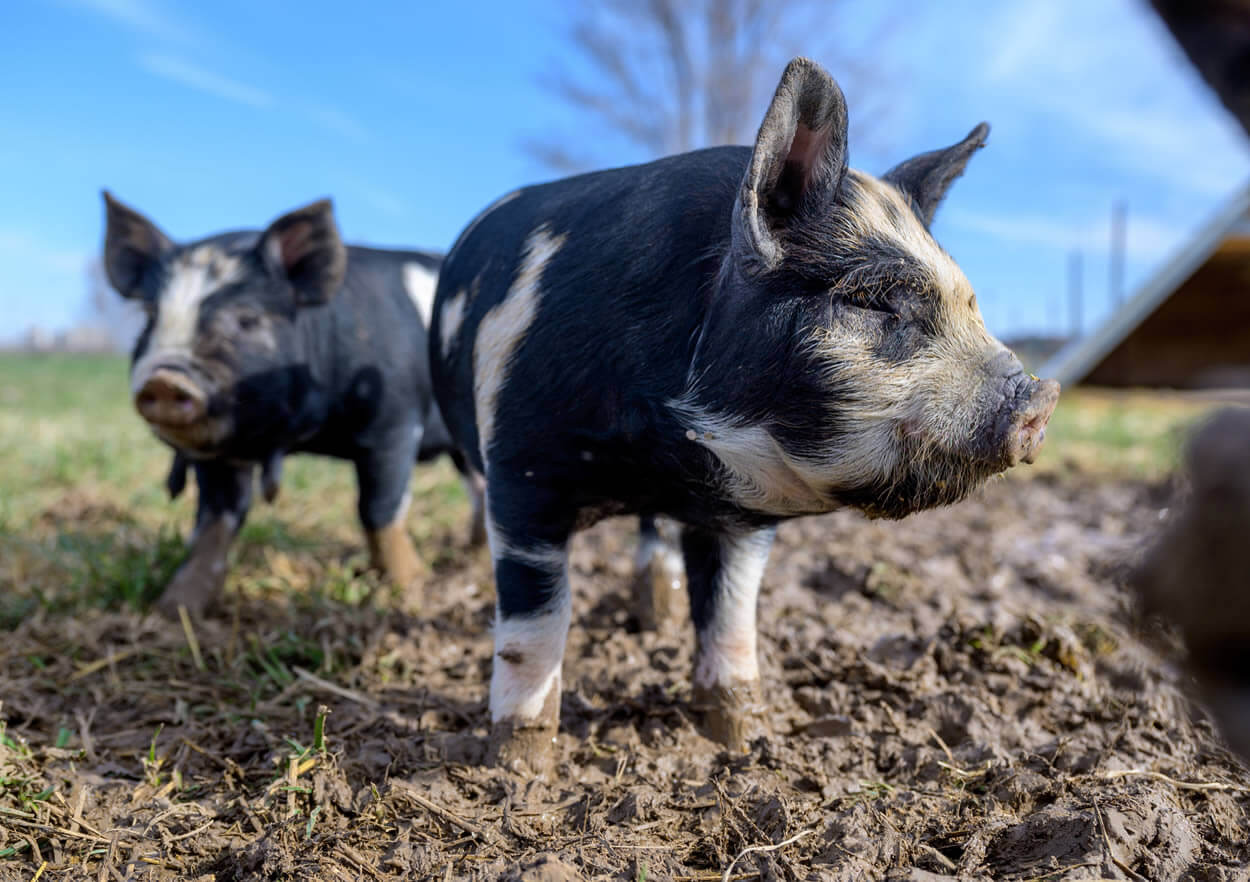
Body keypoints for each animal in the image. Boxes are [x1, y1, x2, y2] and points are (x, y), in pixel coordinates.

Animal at [102, 192, 485, 619]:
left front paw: (412, 588)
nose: (165, 380)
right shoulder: (219, 454)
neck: (295, 436)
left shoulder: (394, 424)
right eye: (150, 317)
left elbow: (379, 509)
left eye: (248, 319)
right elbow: (214, 522)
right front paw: (172, 609)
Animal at [427, 56, 1055, 769]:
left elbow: (732, 614)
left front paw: (742, 740)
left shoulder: (742, 517)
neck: (670, 454)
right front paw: (519, 766)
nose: (1039, 398)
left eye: (971, 304)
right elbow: (537, 620)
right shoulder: (522, 470)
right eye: (872, 300)